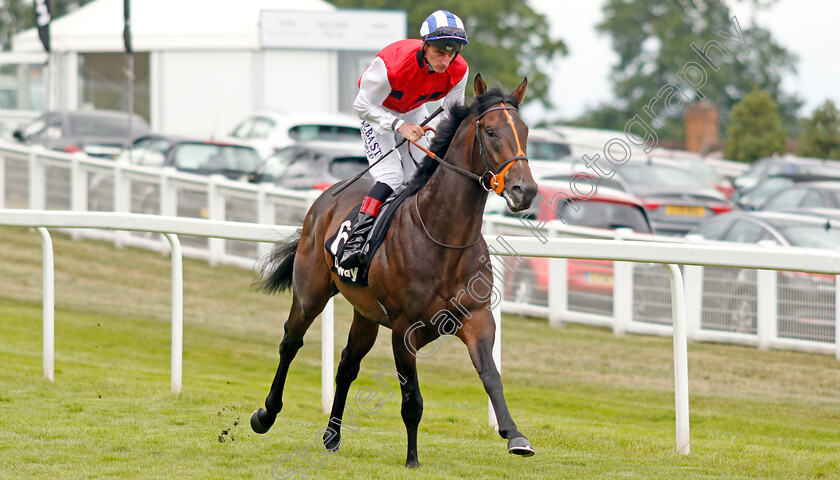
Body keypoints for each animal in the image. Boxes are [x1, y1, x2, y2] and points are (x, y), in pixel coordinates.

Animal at [251, 75, 540, 468]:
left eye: (524, 131)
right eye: (491, 131)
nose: (525, 190)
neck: (444, 238)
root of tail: (323, 200)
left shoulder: (477, 318)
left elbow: (490, 375)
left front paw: (515, 435)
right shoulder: (404, 330)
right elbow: (411, 399)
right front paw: (412, 459)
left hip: (366, 313)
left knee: (347, 364)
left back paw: (332, 435)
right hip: (311, 293)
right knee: (290, 342)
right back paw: (266, 414)